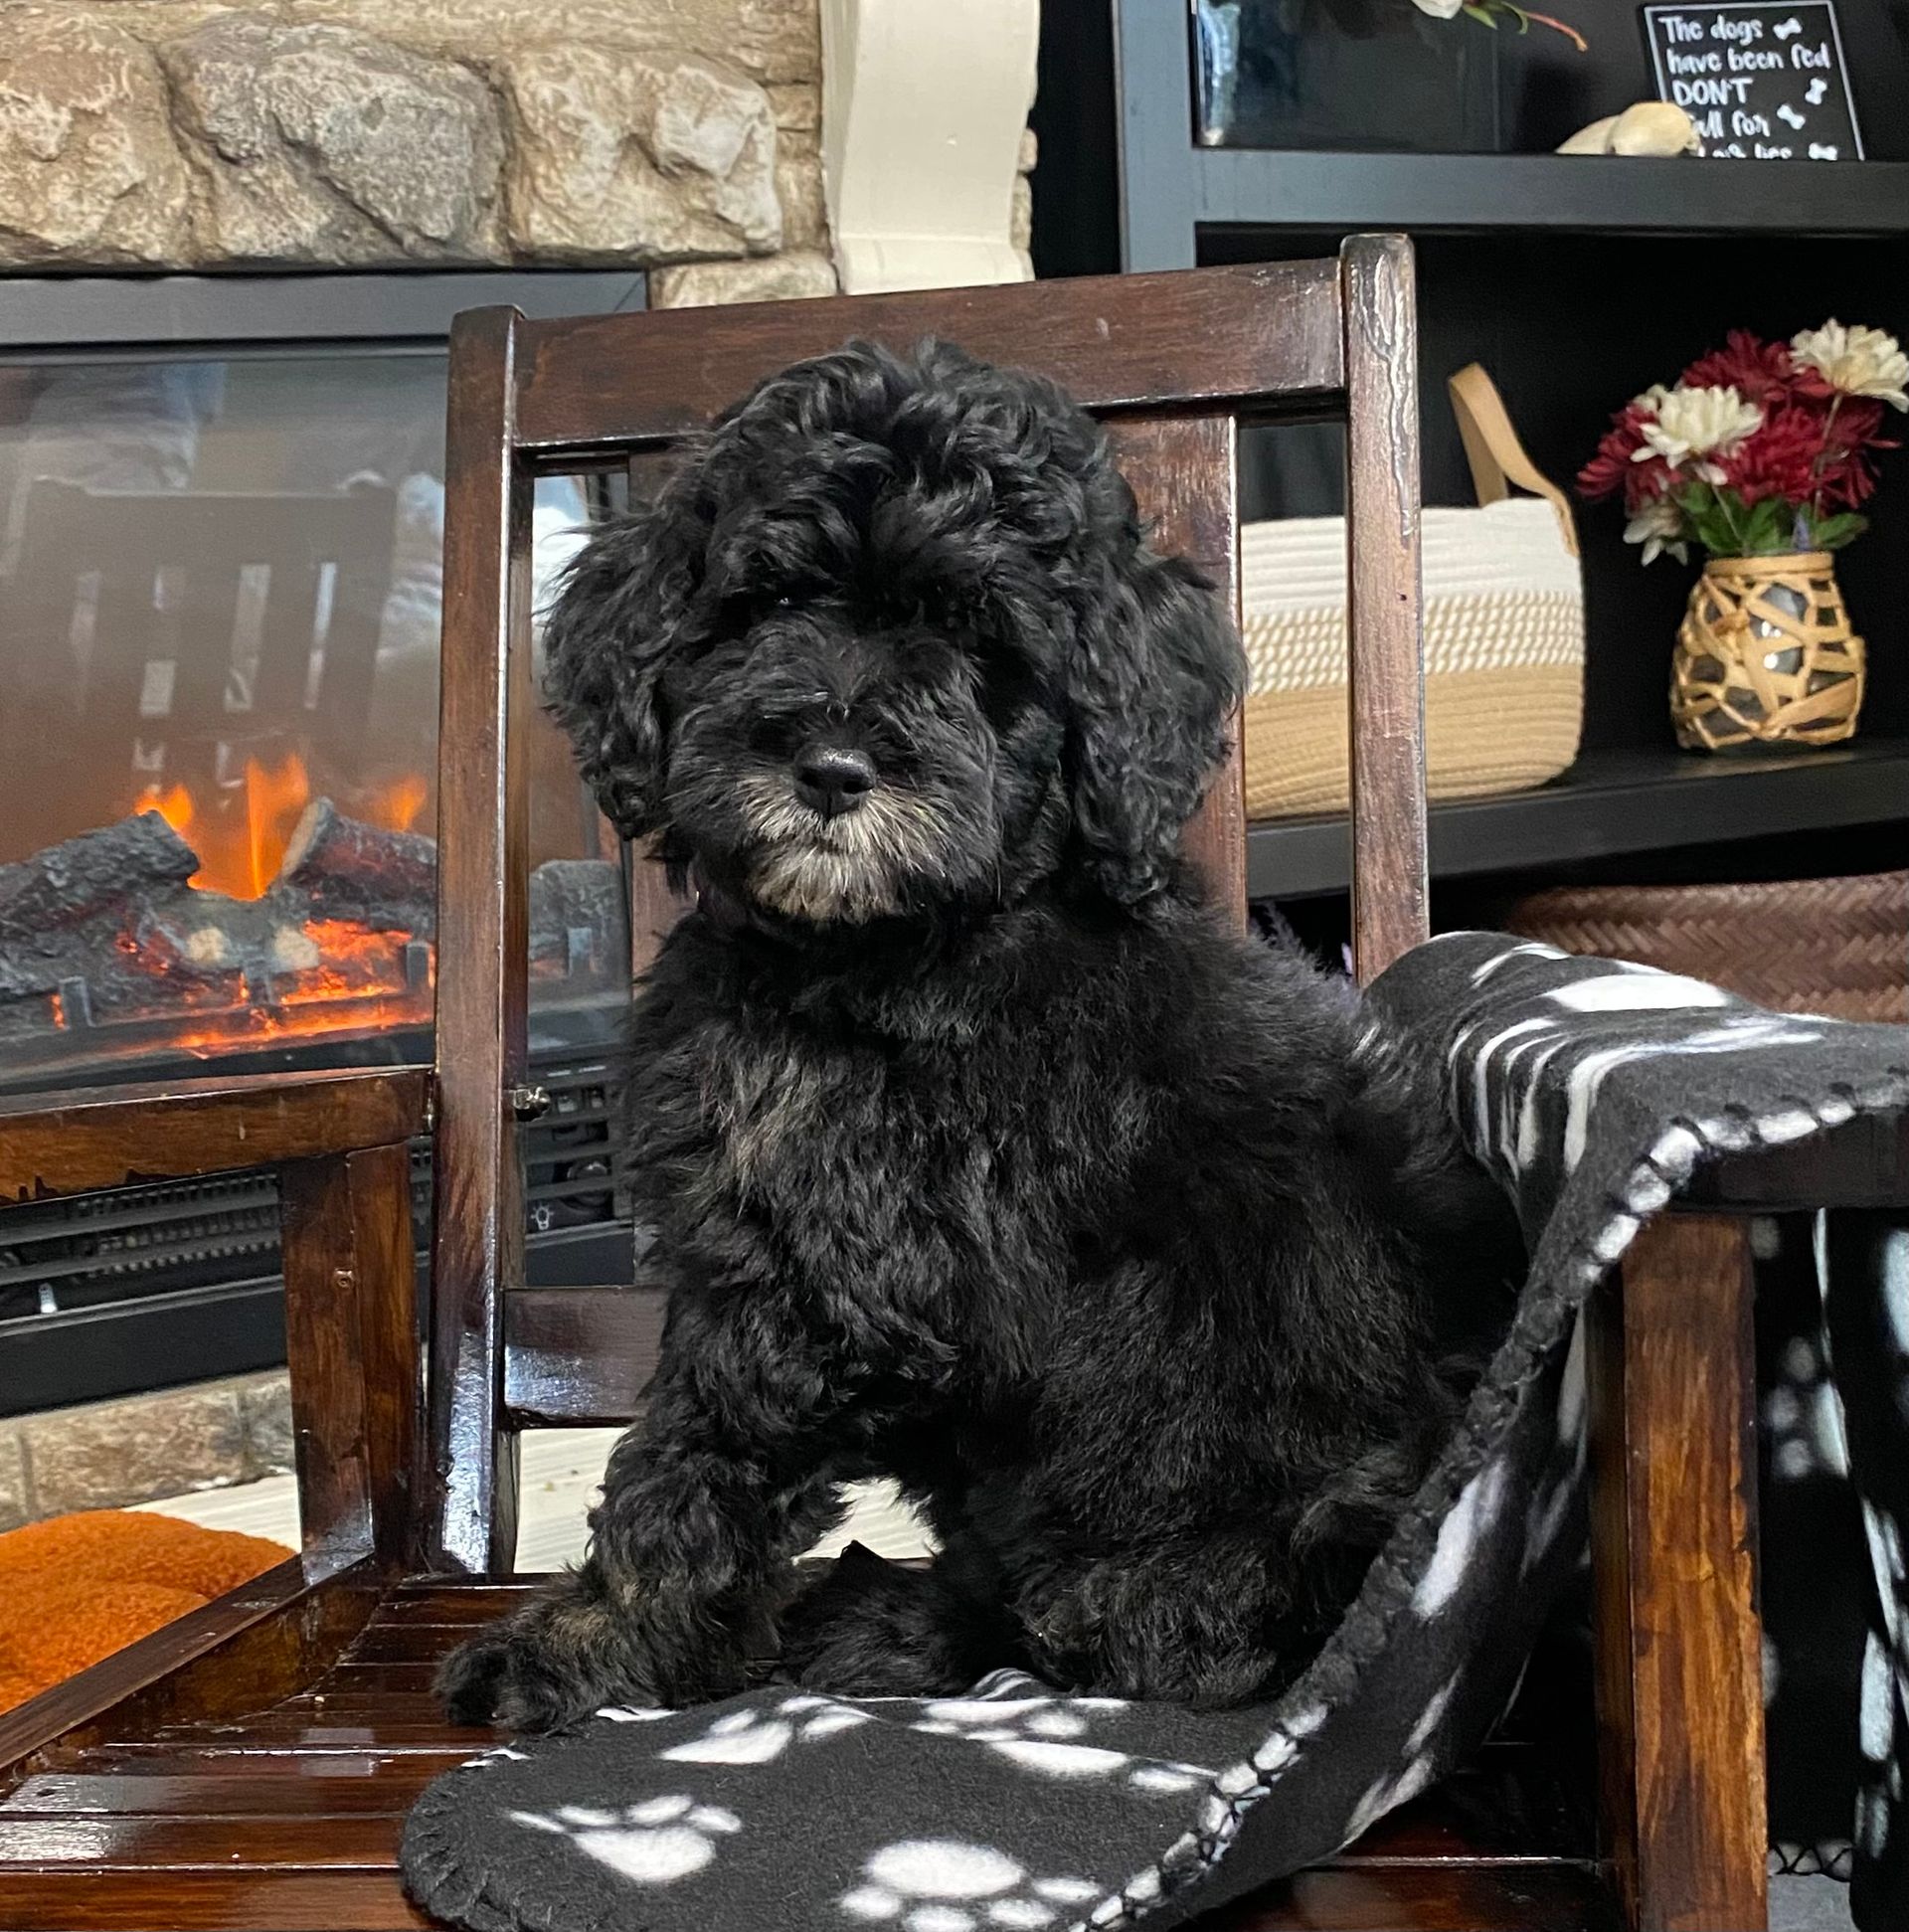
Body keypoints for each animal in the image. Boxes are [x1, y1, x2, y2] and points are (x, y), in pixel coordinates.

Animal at [436, 336, 1522, 1738]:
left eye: (974, 639)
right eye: (767, 604)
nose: (833, 768)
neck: (877, 949)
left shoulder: (828, 1271)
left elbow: (690, 1464)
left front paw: (584, 1644)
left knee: (1108, 1624)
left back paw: (900, 1621)